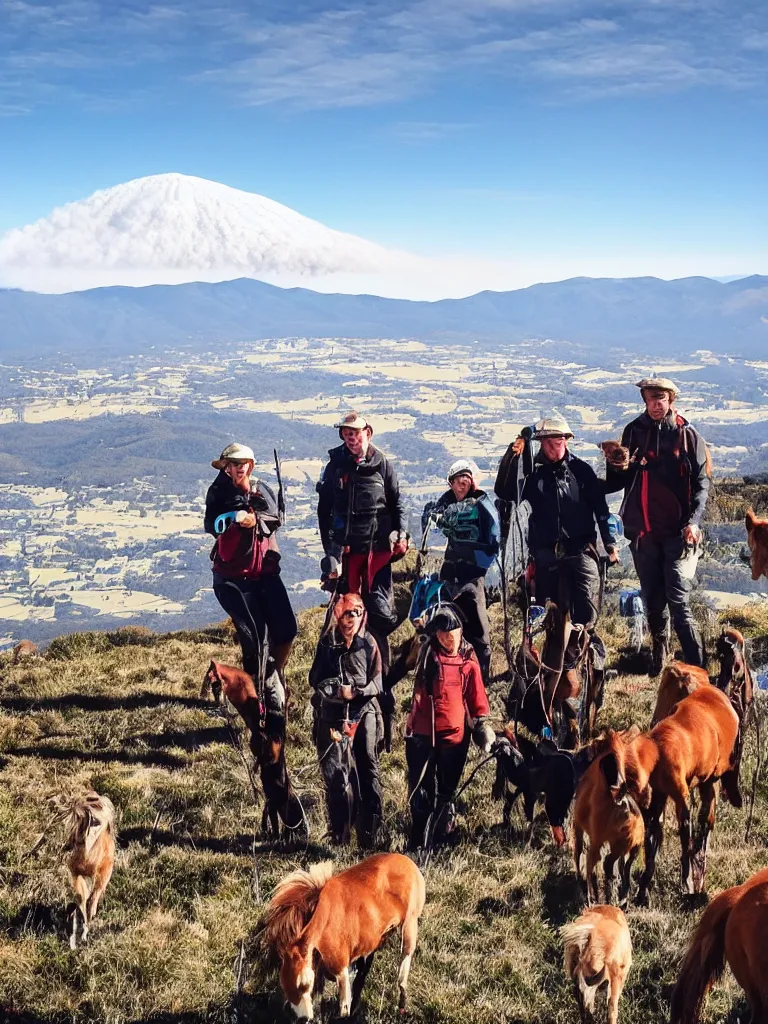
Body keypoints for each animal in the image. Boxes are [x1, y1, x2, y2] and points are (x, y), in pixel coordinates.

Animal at [264, 851, 428, 1019]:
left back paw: (401, 1007)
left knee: (403, 970)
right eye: (283, 983)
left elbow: (343, 1009)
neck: (323, 917)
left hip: (409, 927)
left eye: (303, 984)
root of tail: (407, 861)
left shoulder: (341, 970)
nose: (303, 1019)